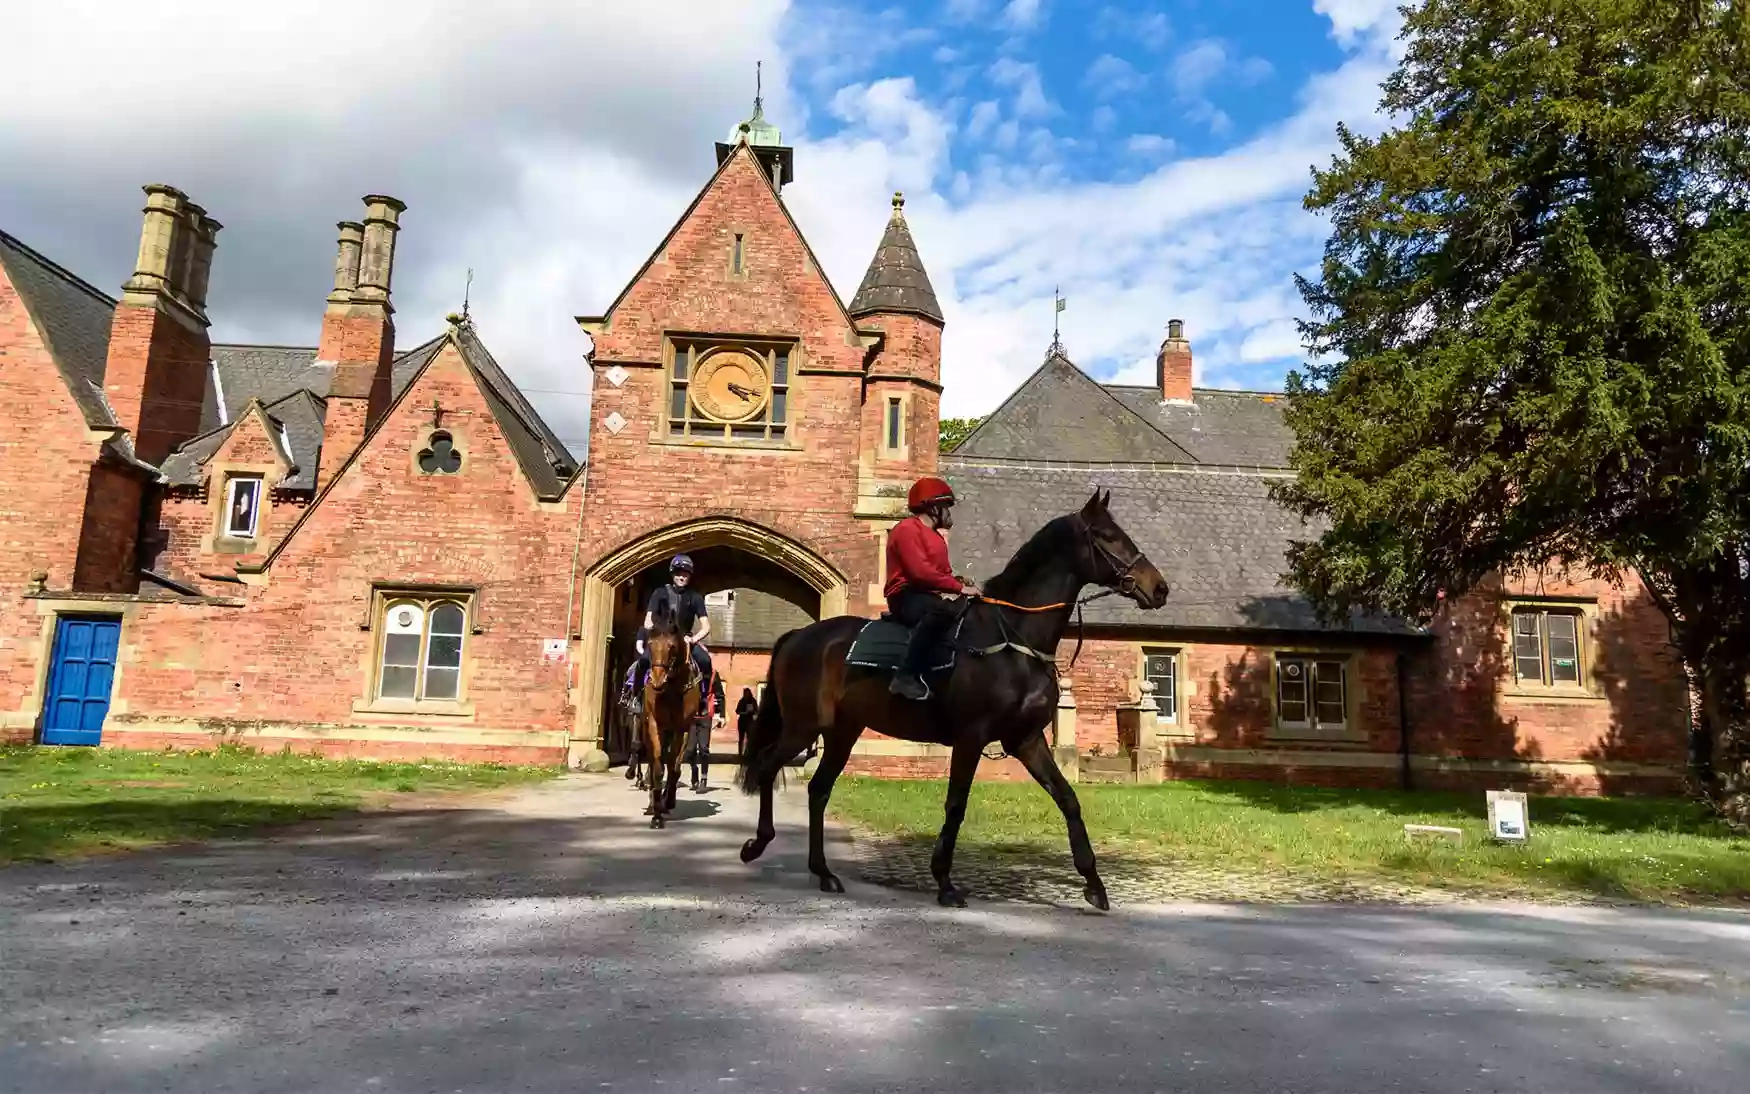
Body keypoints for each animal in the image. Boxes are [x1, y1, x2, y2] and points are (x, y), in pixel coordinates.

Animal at [735, 490, 1162, 910]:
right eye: (1107, 536)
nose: (1160, 588)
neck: (1012, 640)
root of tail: (799, 636)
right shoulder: (970, 738)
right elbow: (956, 804)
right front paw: (944, 881)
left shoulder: (1026, 740)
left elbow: (1068, 799)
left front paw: (1094, 884)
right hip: (804, 727)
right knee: (768, 767)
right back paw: (756, 845)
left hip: (842, 732)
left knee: (818, 790)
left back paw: (823, 872)